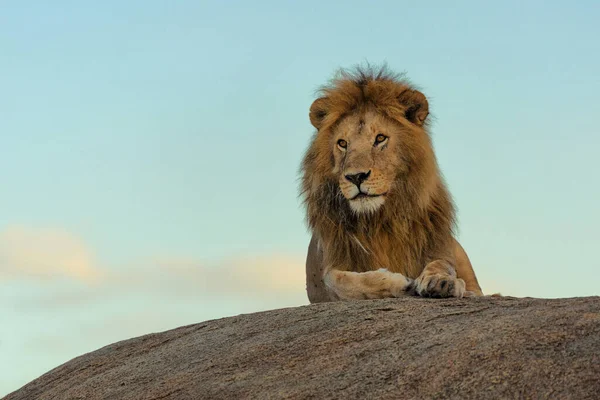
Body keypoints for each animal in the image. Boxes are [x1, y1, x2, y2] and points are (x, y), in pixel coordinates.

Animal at [300, 66, 482, 304]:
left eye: (380, 138)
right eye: (342, 143)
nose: (356, 177)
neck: (379, 219)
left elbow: (443, 263)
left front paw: (442, 280)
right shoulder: (327, 277)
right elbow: (342, 282)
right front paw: (402, 283)